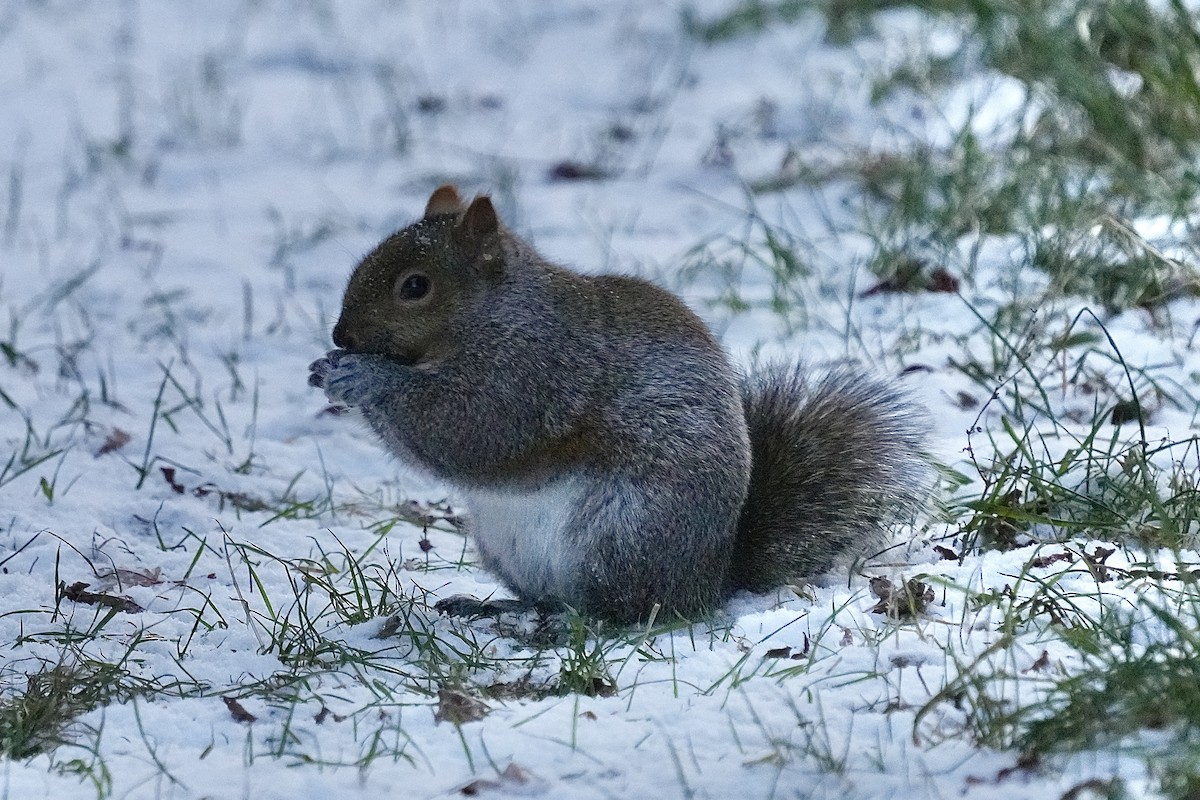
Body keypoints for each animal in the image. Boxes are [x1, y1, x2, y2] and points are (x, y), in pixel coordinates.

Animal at [309, 185, 928, 624]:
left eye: (415, 286)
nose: (342, 336)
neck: (499, 315)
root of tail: (709, 581)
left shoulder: (534, 373)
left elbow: (466, 428)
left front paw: (360, 377)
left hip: (622, 534)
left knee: (625, 610)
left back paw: (574, 623)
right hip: (509, 545)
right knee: (549, 597)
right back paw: (500, 607)